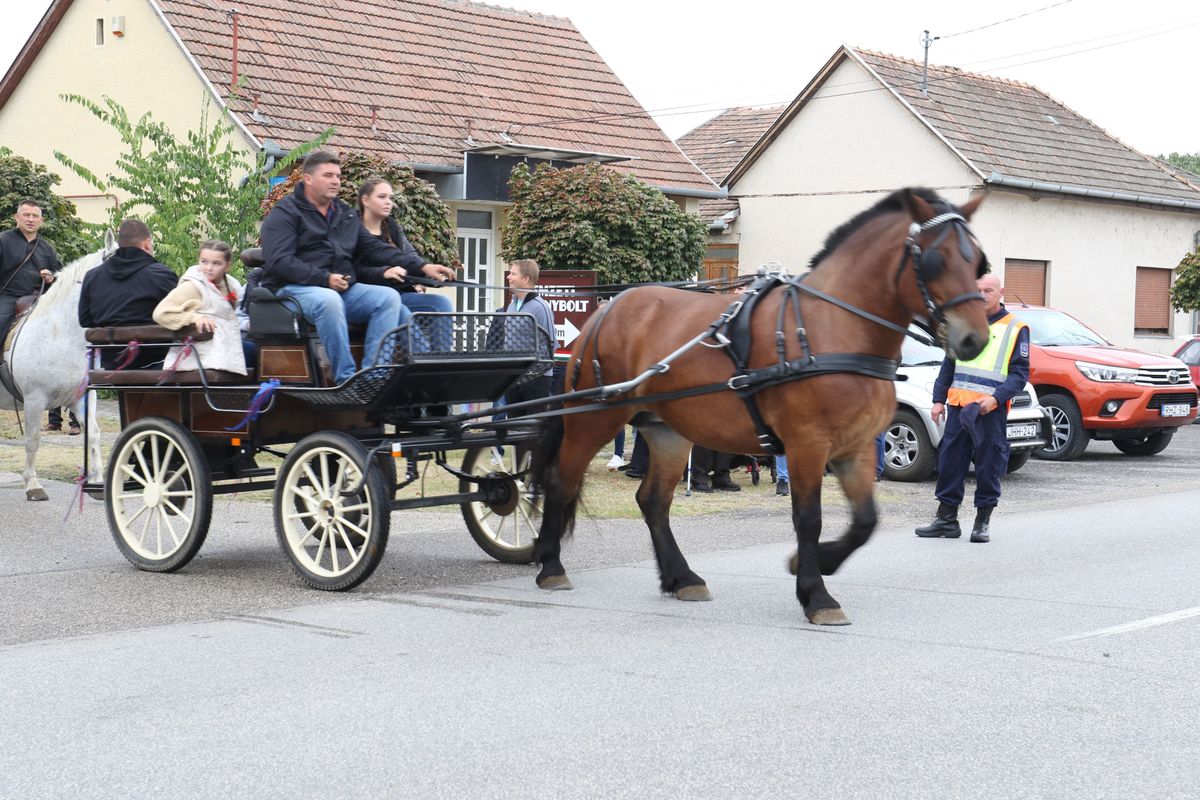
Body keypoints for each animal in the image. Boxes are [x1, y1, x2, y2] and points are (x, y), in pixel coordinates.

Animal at [1, 235, 115, 501]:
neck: (59, 334)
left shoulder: (83, 398)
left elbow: (93, 434)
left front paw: (97, 482)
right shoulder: (34, 400)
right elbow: (33, 440)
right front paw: (33, 485)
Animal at [530, 188, 988, 623]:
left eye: (979, 263)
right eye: (936, 260)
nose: (974, 339)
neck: (834, 329)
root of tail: (607, 310)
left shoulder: (855, 448)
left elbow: (864, 522)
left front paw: (817, 563)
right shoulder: (807, 445)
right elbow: (809, 518)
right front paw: (816, 594)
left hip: (667, 431)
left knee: (652, 500)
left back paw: (682, 577)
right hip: (594, 417)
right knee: (561, 481)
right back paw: (551, 565)